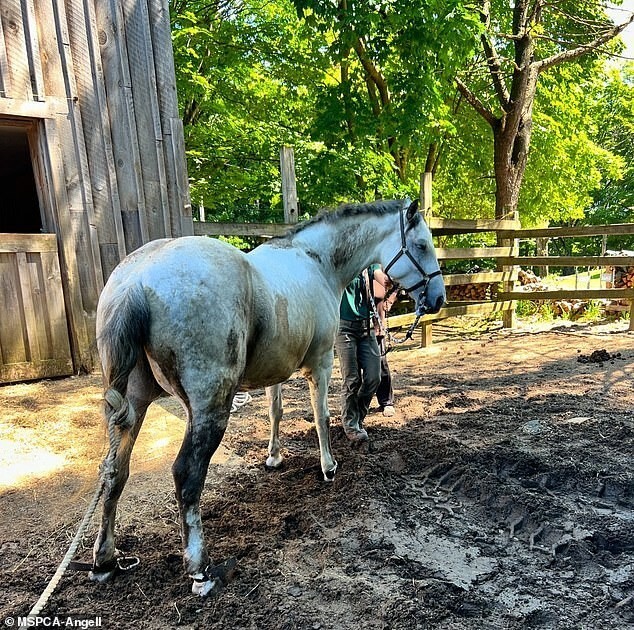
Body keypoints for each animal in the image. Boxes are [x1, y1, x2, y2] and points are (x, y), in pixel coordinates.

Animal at [91, 198, 444, 596]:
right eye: (421, 245)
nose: (437, 298)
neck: (316, 261)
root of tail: (137, 280)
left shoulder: (276, 371)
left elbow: (276, 412)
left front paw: (274, 457)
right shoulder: (321, 363)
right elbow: (321, 416)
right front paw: (328, 467)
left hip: (133, 403)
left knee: (113, 472)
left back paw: (105, 559)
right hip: (210, 408)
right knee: (187, 475)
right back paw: (200, 569)